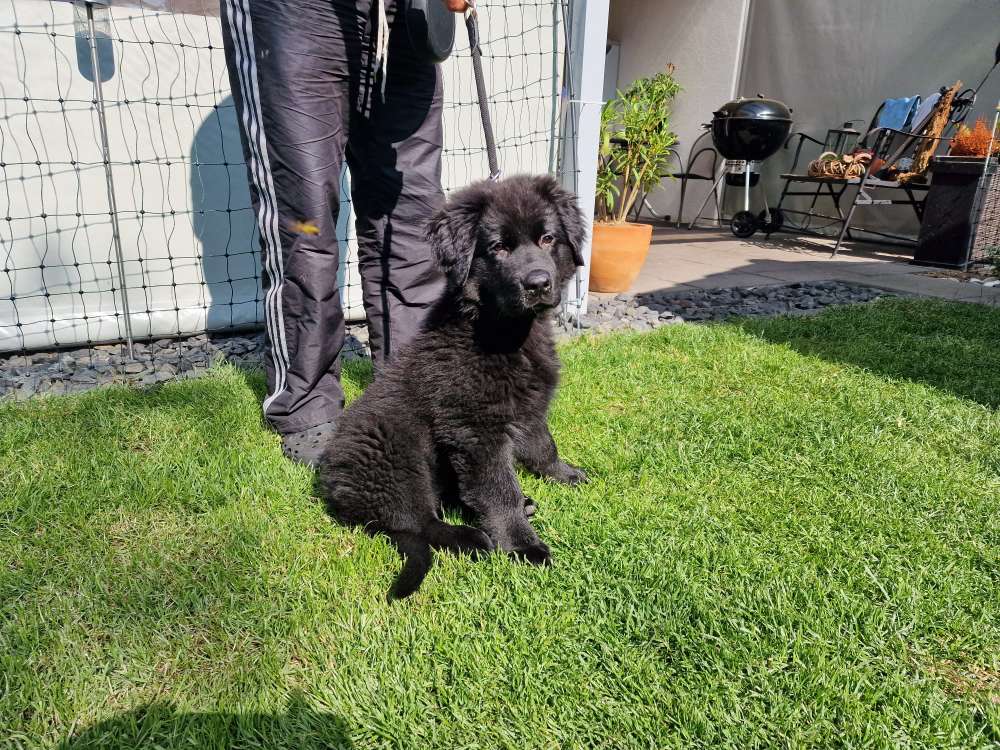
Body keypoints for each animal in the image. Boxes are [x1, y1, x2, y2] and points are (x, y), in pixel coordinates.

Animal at [320, 175, 584, 600]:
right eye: (498, 248)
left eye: (548, 239)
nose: (539, 283)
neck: (503, 332)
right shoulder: (475, 431)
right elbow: (499, 490)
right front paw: (523, 546)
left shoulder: (528, 408)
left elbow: (544, 446)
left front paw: (563, 474)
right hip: (399, 453)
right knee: (418, 522)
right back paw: (471, 538)